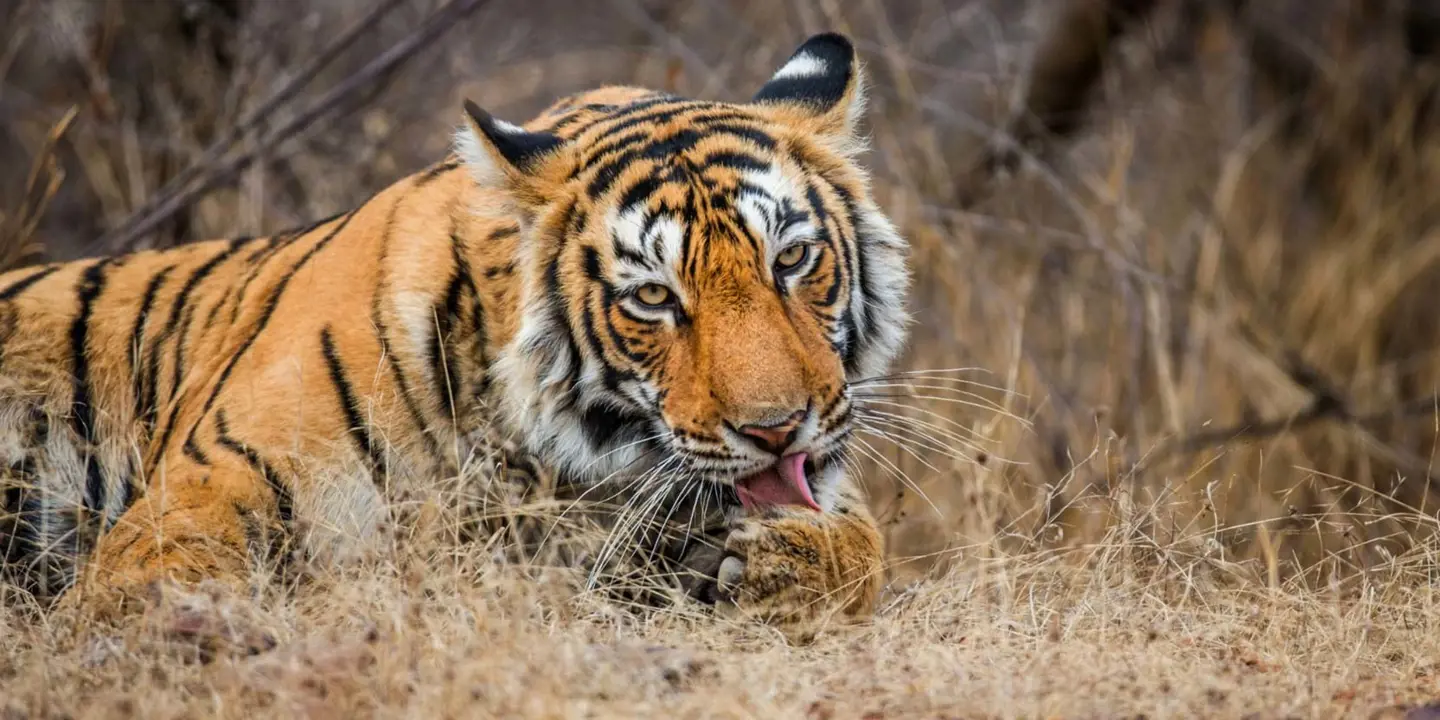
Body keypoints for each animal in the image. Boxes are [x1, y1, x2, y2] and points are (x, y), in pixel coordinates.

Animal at [0, 35, 910, 642]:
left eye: (790, 259)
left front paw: (783, 562)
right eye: (653, 297)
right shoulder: (202, 489)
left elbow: (863, 541)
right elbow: (159, 585)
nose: (776, 430)